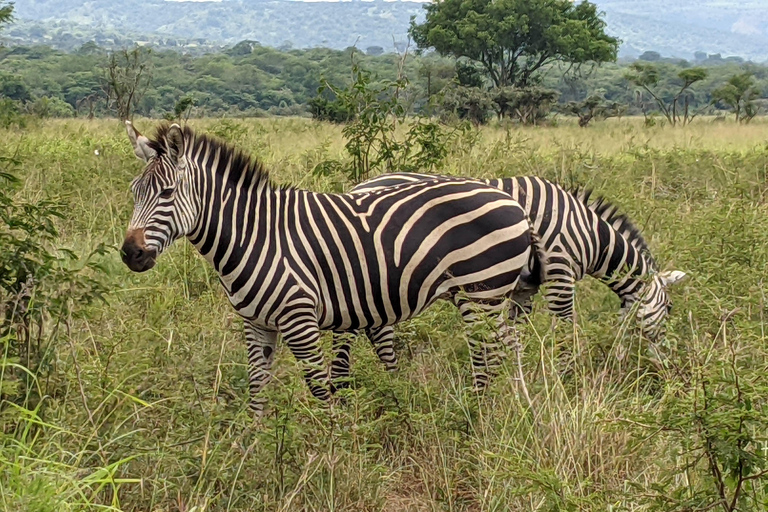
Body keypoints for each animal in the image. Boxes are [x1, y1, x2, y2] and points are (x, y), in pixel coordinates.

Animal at [121, 123, 540, 416]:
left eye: (167, 193)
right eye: (134, 192)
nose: (129, 254)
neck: (254, 234)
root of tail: (512, 202)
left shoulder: (299, 318)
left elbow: (320, 387)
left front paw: (332, 448)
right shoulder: (256, 323)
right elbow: (257, 387)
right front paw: (251, 447)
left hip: (482, 293)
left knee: (487, 355)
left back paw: (475, 414)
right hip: (488, 296)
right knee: (507, 345)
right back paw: (507, 402)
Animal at [328, 174, 688, 382]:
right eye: (670, 309)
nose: (667, 368)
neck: (588, 234)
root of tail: (358, 187)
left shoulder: (524, 287)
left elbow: (515, 332)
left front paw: (520, 375)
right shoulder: (559, 271)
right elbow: (565, 329)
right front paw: (566, 379)